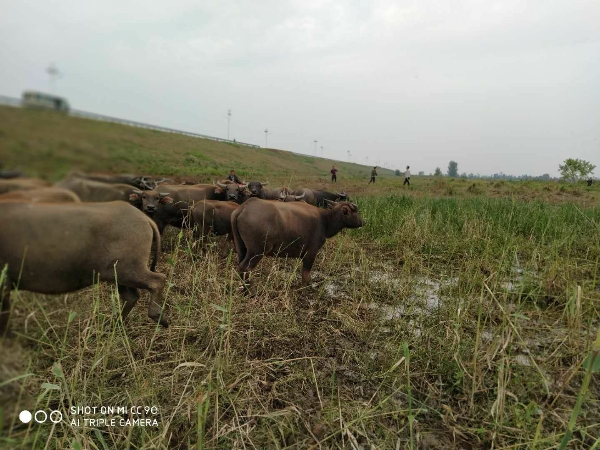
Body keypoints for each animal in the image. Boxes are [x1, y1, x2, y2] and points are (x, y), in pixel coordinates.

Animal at [0, 201, 169, 334]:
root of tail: (144, 218)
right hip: (118, 273)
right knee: (131, 296)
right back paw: (115, 324)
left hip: (128, 269)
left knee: (158, 280)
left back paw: (159, 317)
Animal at [231, 198, 364, 284]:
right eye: (354, 212)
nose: (363, 222)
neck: (324, 220)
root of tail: (244, 207)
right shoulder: (311, 253)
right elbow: (306, 275)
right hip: (257, 251)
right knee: (244, 268)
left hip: (242, 248)